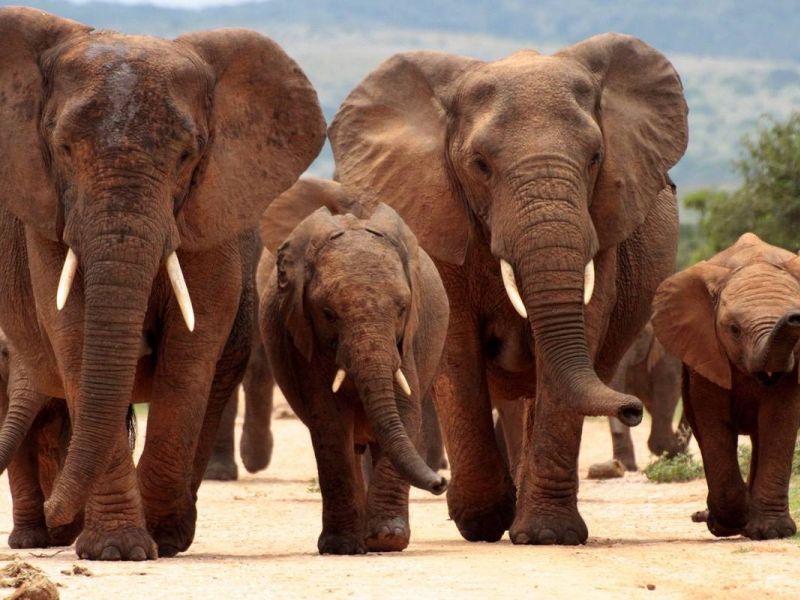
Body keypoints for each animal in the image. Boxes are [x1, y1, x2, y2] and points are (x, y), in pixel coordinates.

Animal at [0, 7, 325, 560]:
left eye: (188, 155)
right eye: (62, 148)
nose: (57, 509)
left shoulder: (210, 212)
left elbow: (191, 350)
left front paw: (155, 539)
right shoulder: (46, 217)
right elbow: (75, 338)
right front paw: (115, 550)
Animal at [261, 182, 450, 554]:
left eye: (402, 308)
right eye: (328, 313)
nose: (441, 482)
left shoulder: (408, 340)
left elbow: (405, 410)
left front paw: (388, 539)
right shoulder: (303, 336)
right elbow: (329, 421)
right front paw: (341, 546)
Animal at [653, 233, 800, 540]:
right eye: (734, 330)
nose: (794, 316)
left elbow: (779, 419)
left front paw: (772, 532)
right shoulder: (705, 348)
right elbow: (712, 421)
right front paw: (729, 524)